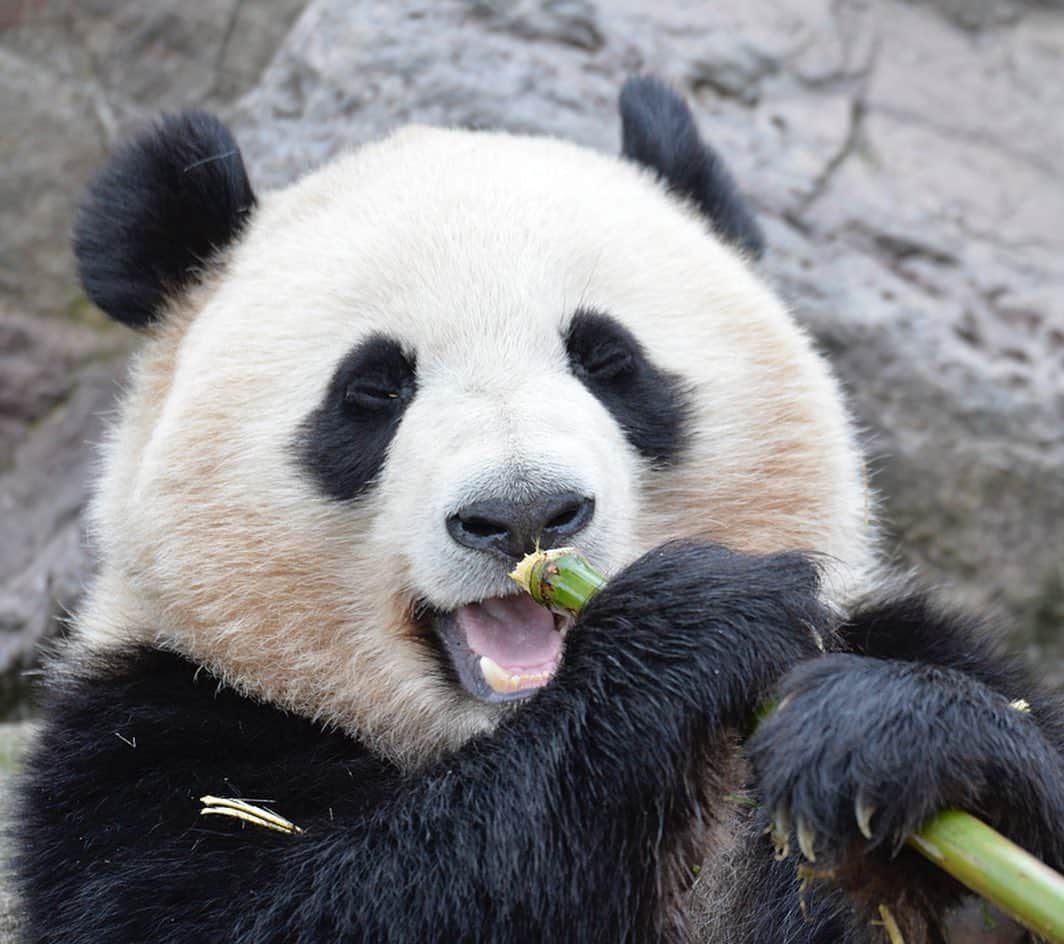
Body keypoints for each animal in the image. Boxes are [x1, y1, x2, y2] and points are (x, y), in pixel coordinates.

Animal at [14, 75, 1064, 944]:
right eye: (372, 389)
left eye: (607, 360)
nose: (523, 512)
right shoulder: (147, 740)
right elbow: (296, 907)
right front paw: (687, 626)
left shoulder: (884, 630)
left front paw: (893, 745)